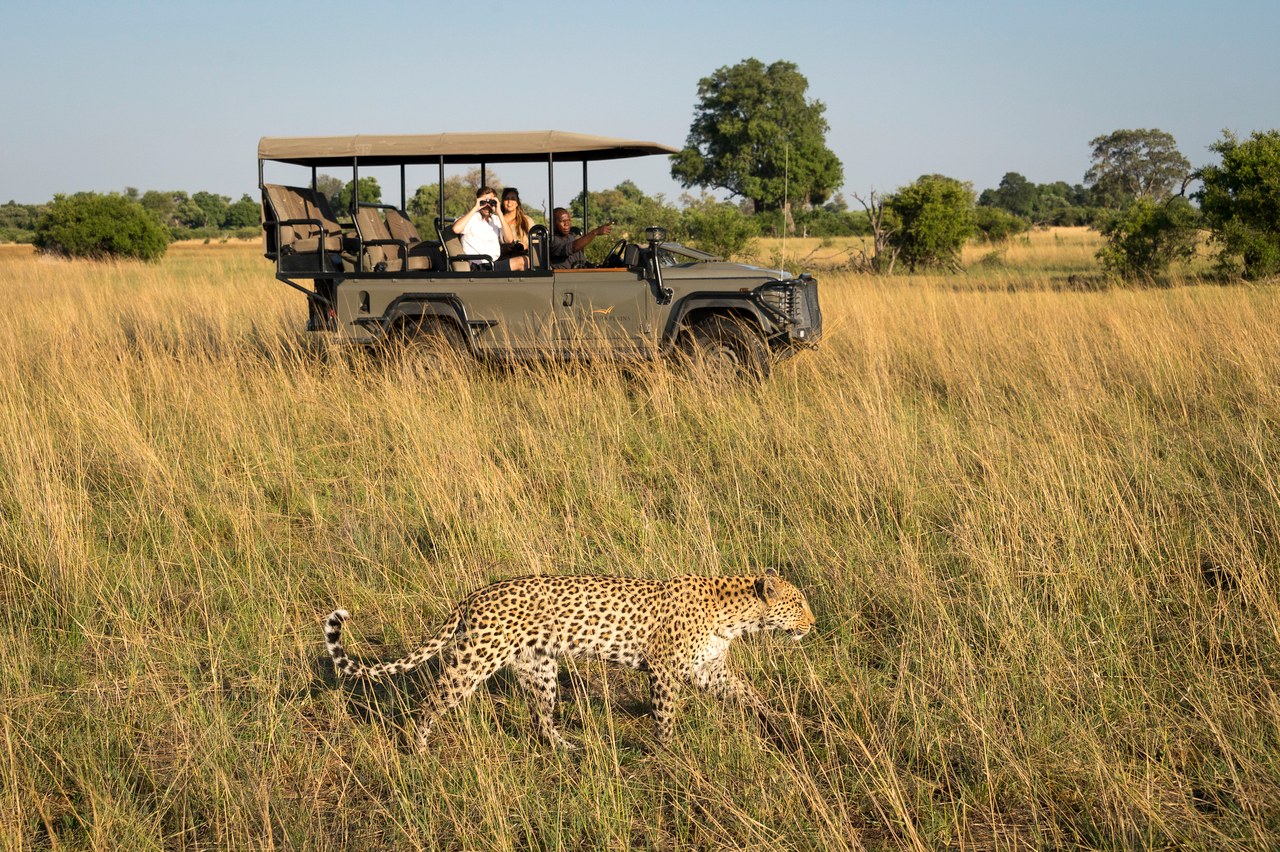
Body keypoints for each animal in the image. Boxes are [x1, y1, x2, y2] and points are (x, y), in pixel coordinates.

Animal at [323, 568, 816, 750]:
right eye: (798, 604)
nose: (813, 624)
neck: (738, 617)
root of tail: (474, 595)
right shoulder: (663, 669)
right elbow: (666, 715)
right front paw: (670, 752)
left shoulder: (708, 670)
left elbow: (748, 695)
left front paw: (780, 722)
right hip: (473, 662)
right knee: (430, 702)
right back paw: (420, 750)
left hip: (539, 667)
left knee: (541, 719)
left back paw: (566, 747)